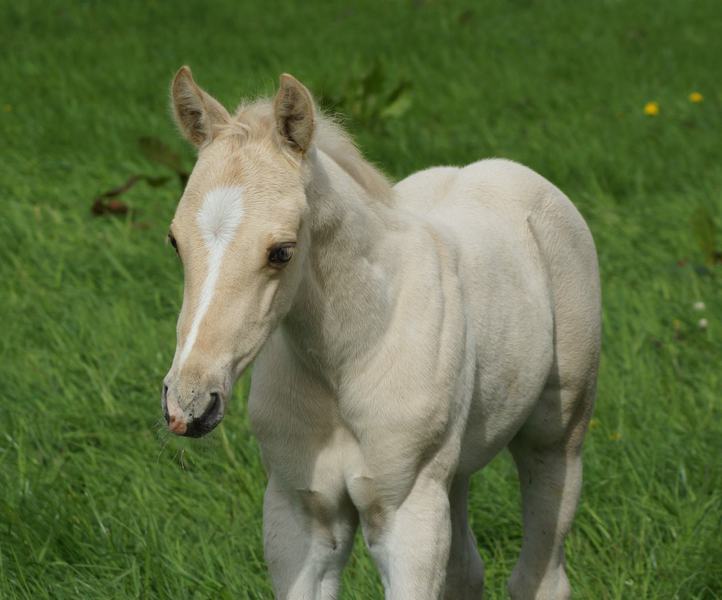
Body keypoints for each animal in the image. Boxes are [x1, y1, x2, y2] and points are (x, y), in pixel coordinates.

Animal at [161, 66, 601, 600]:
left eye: (281, 251)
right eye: (175, 240)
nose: (189, 404)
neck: (352, 352)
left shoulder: (406, 513)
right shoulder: (299, 512)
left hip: (556, 439)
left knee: (540, 574)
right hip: (453, 470)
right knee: (465, 570)